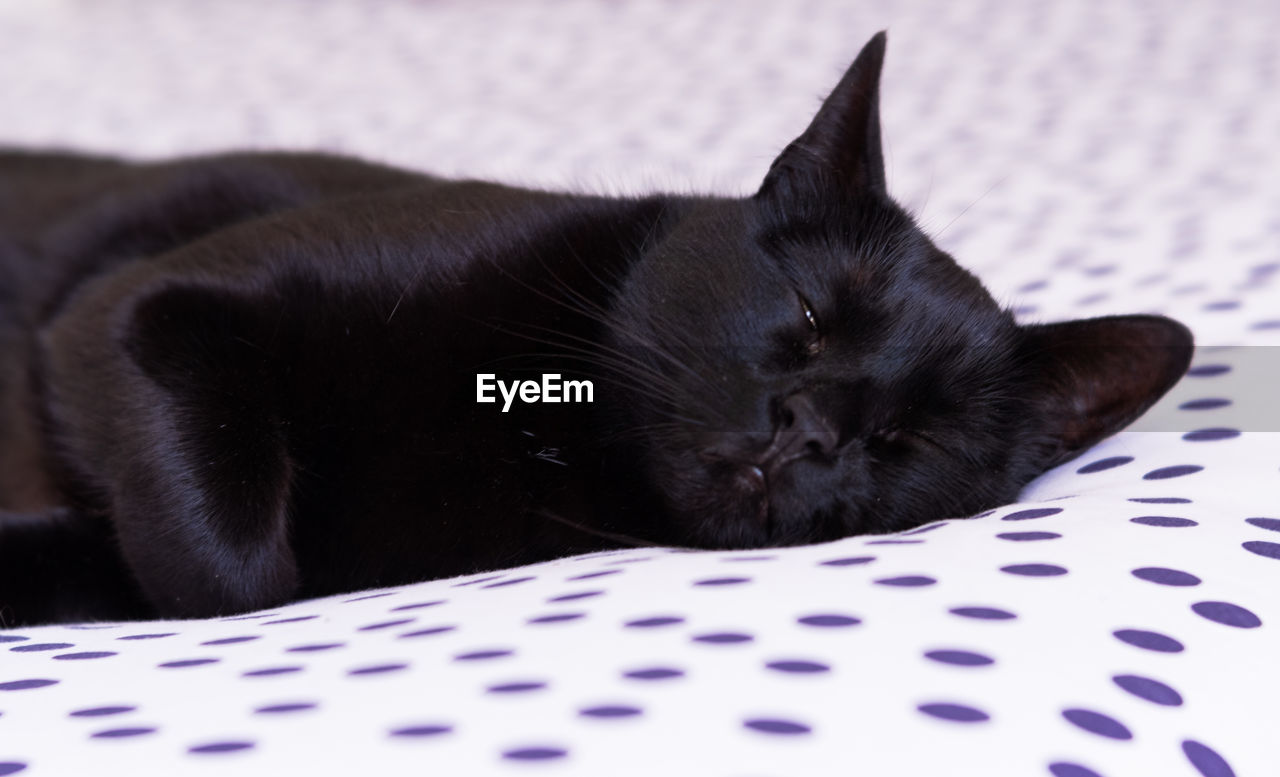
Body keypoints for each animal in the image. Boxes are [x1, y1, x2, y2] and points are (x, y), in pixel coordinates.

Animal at [0, 34, 1187, 627]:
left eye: (912, 439)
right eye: (810, 319)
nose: (805, 430)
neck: (544, 440)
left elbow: (235, 577)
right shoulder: (138, 307)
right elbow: (230, 558)